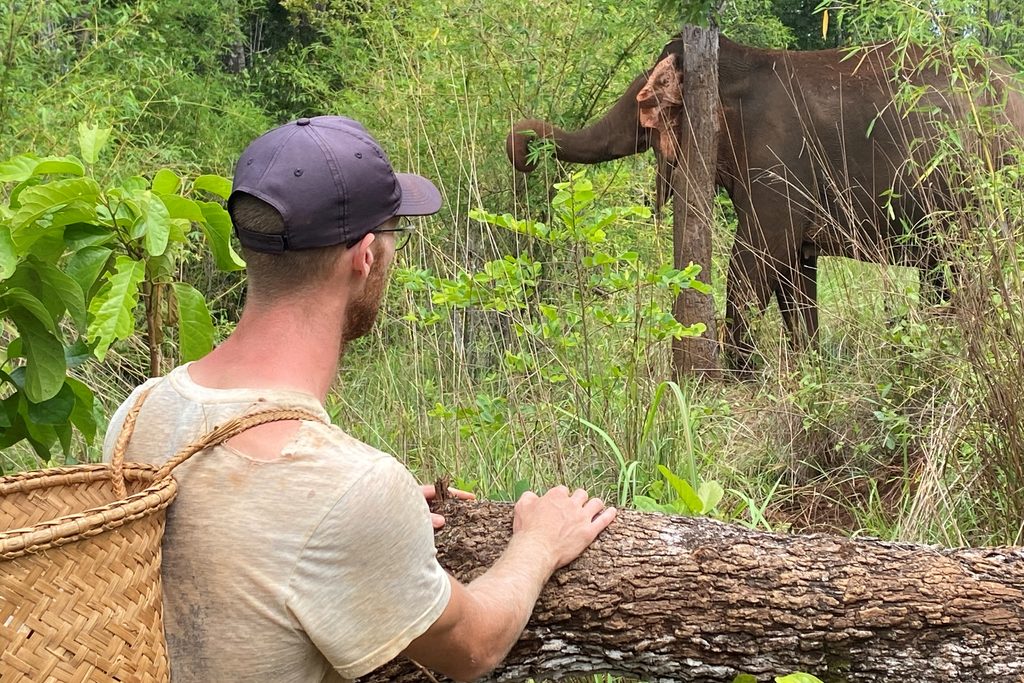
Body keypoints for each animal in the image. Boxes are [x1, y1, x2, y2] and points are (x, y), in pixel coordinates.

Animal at [506, 34, 1024, 371]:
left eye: (647, 104)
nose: (522, 146)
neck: (737, 63)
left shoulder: (778, 162)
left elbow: (756, 259)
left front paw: (740, 376)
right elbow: (794, 273)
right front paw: (806, 370)